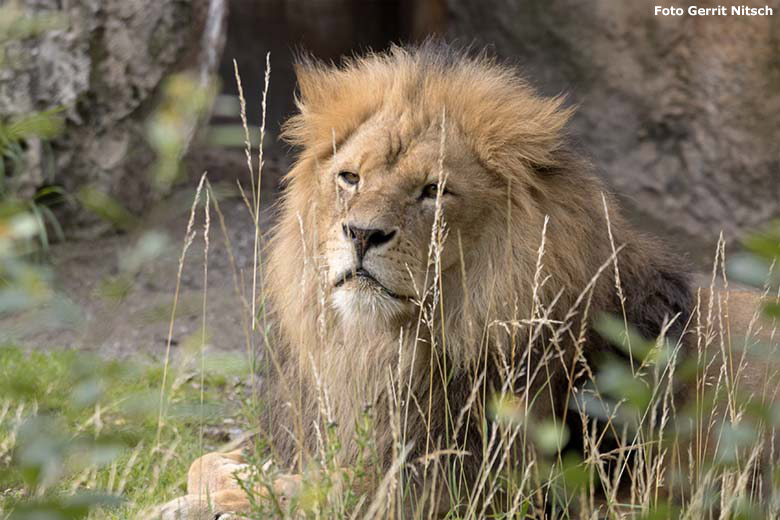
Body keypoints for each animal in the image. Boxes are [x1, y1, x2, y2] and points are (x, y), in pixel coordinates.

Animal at [149, 42, 776, 516]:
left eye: (434, 191)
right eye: (349, 178)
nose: (361, 234)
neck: (381, 349)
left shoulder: (448, 489)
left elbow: (305, 495)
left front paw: (213, 504)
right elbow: (206, 462)